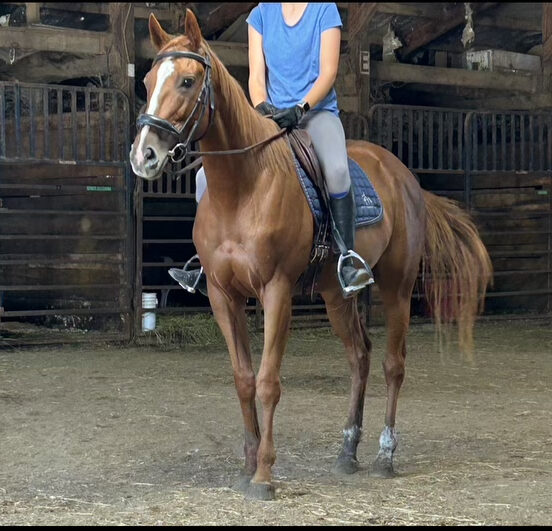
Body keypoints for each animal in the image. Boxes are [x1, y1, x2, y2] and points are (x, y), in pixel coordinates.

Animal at [130, 12, 492, 502]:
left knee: (392, 365)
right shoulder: (223, 296)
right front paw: (247, 465)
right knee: (359, 357)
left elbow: (268, 382)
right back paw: (347, 452)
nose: (143, 156)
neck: (242, 187)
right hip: (336, 296)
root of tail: (406, 177)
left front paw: (264, 475)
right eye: (148, 81)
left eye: (187, 81)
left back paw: (384, 455)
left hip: (396, 288)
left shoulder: (276, 291)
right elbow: (243, 379)